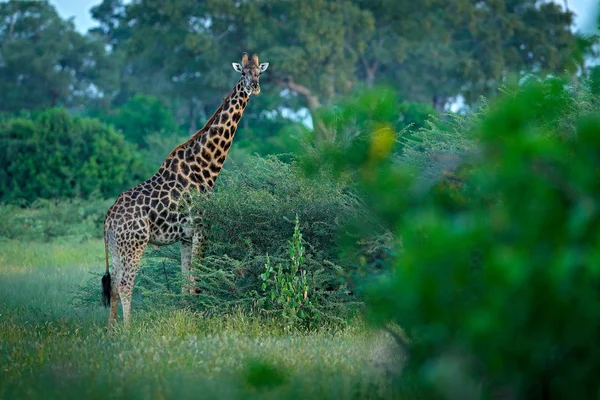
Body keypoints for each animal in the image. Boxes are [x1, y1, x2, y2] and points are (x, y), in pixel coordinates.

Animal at [101, 53, 270, 328]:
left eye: (259, 73)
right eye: (243, 73)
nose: (253, 87)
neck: (206, 167)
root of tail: (108, 218)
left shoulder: (186, 236)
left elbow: (185, 283)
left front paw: (186, 314)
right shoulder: (202, 227)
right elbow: (197, 282)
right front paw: (198, 317)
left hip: (117, 245)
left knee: (114, 286)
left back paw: (110, 331)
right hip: (135, 243)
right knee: (125, 285)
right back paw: (127, 330)